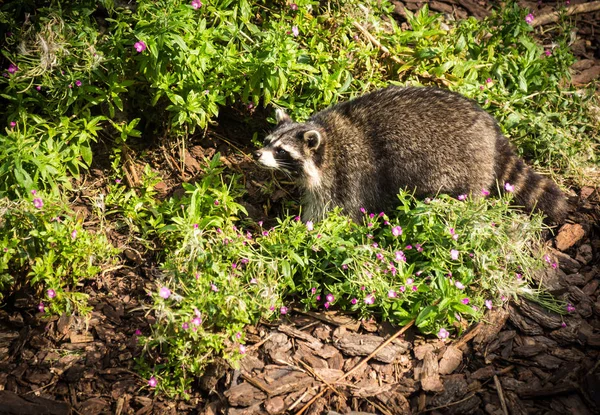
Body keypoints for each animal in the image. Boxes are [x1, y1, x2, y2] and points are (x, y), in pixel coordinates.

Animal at [252, 86, 568, 224]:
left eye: (281, 151)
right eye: (267, 141)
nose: (256, 154)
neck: (328, 140)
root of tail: (492, 132)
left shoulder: (349, 175)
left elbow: (338, 212)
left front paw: (304, 230)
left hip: (465, 166)